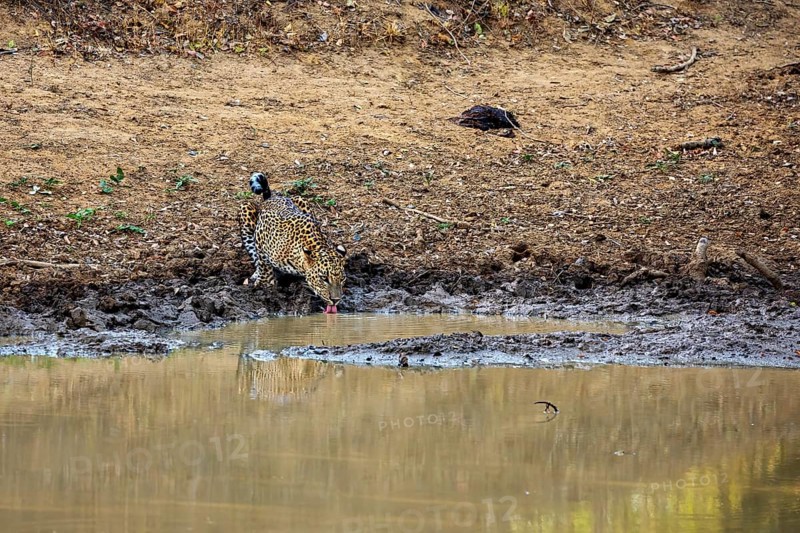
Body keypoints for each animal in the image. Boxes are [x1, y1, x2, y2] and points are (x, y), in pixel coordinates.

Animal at [239, 172, 346, 314]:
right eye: (324, 278)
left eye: (342, 279)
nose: (336, 300)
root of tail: (271, 198)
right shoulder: (261, 236)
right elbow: (263, 265)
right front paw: (263, 284)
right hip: (245, 209)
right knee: (253, 253)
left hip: (301, 199)